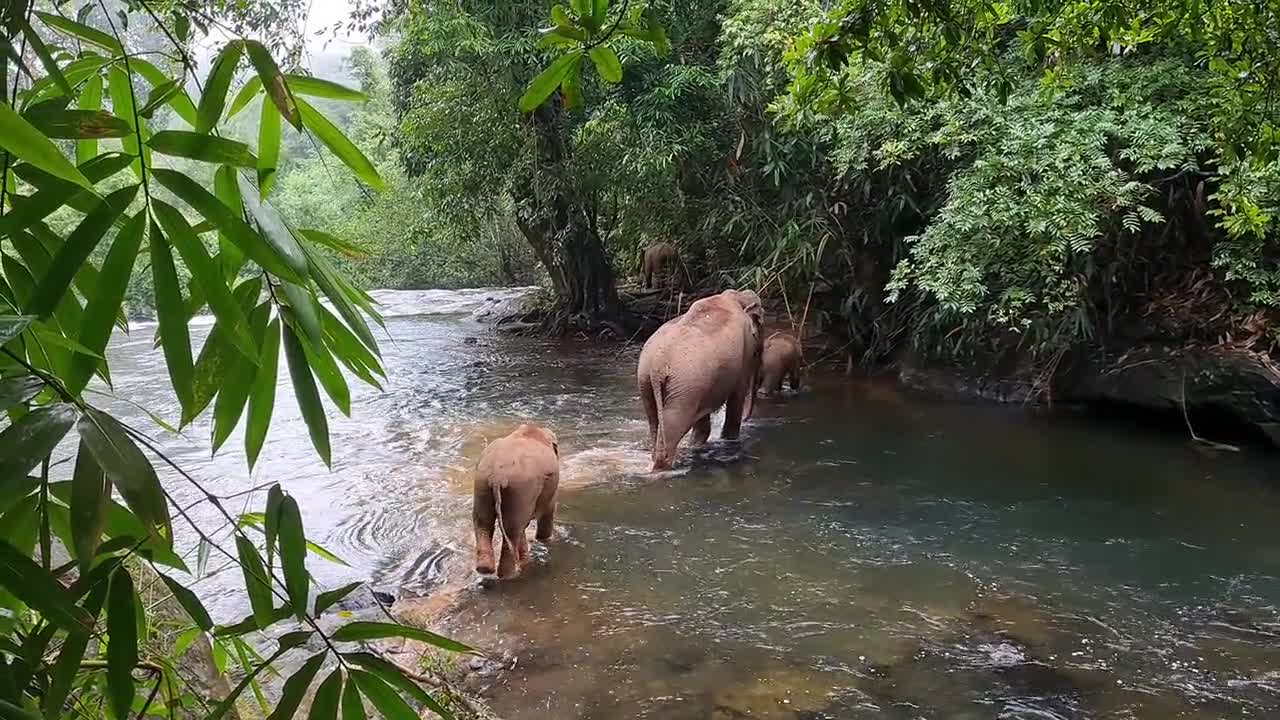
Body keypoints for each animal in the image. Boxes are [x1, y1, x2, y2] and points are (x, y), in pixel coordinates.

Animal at [473, 422, 558, 573]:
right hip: (520, 489)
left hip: (482, 482)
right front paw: (546, 541)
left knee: (483, 523)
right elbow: (547, 513)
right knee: (512, 531)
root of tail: (497, 475)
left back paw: (485, 569)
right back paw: (514, 572)